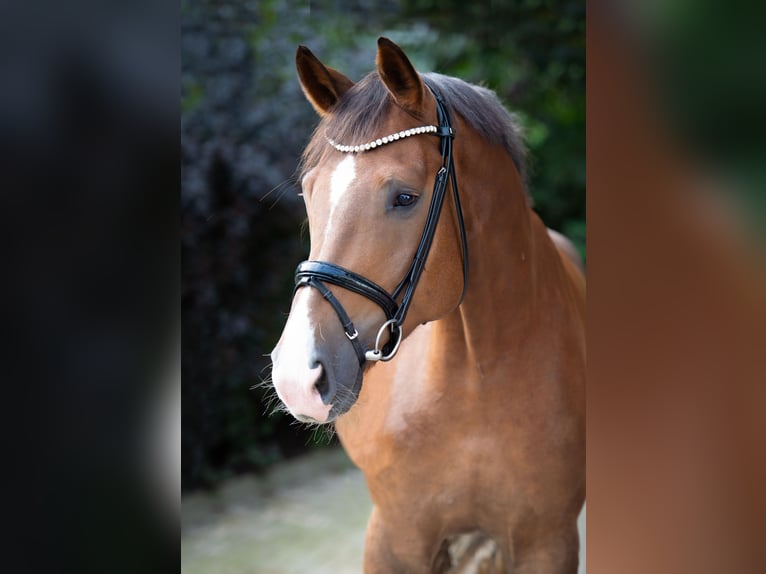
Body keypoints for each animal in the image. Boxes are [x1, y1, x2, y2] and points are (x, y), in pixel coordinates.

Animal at [272, 37, 588, 574]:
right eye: (309, 190)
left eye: (405, 197)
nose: (297, 376)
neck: (476, 380)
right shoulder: (393, 538)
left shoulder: (549, 543)